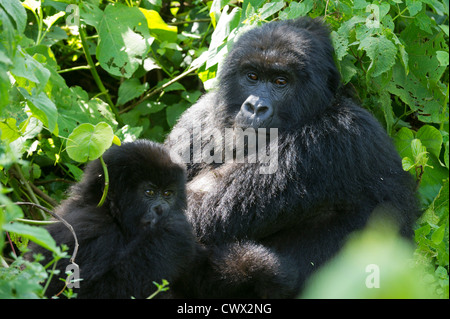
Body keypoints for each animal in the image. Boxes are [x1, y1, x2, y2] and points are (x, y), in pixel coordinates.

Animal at [27, 141, 197, 300]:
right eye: (149, 192)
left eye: (168, 194)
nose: (161, 209)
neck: (113, 215)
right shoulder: (92, 229)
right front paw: (171, 232)